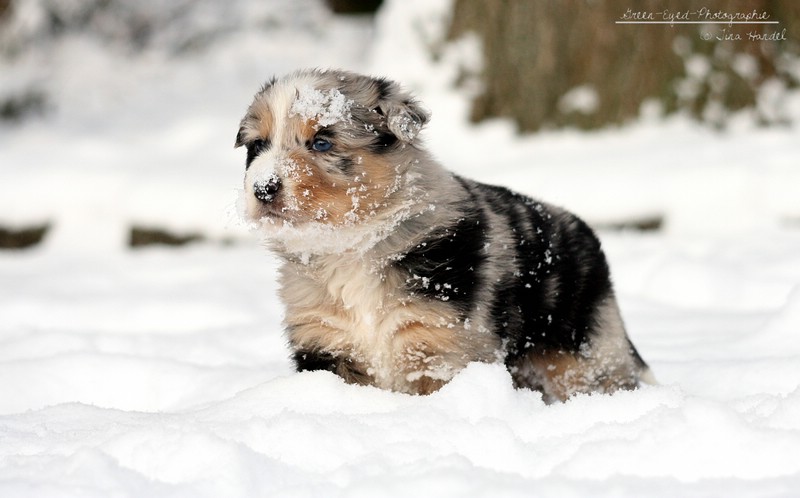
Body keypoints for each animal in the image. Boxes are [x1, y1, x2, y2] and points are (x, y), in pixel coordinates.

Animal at [234, 69, 652, 400]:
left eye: (322, 141)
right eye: (258, 145)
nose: (263, 189)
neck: (352, 247)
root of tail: (584, 231)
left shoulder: (442, 343)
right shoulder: (326, 342)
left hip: (584, 352)